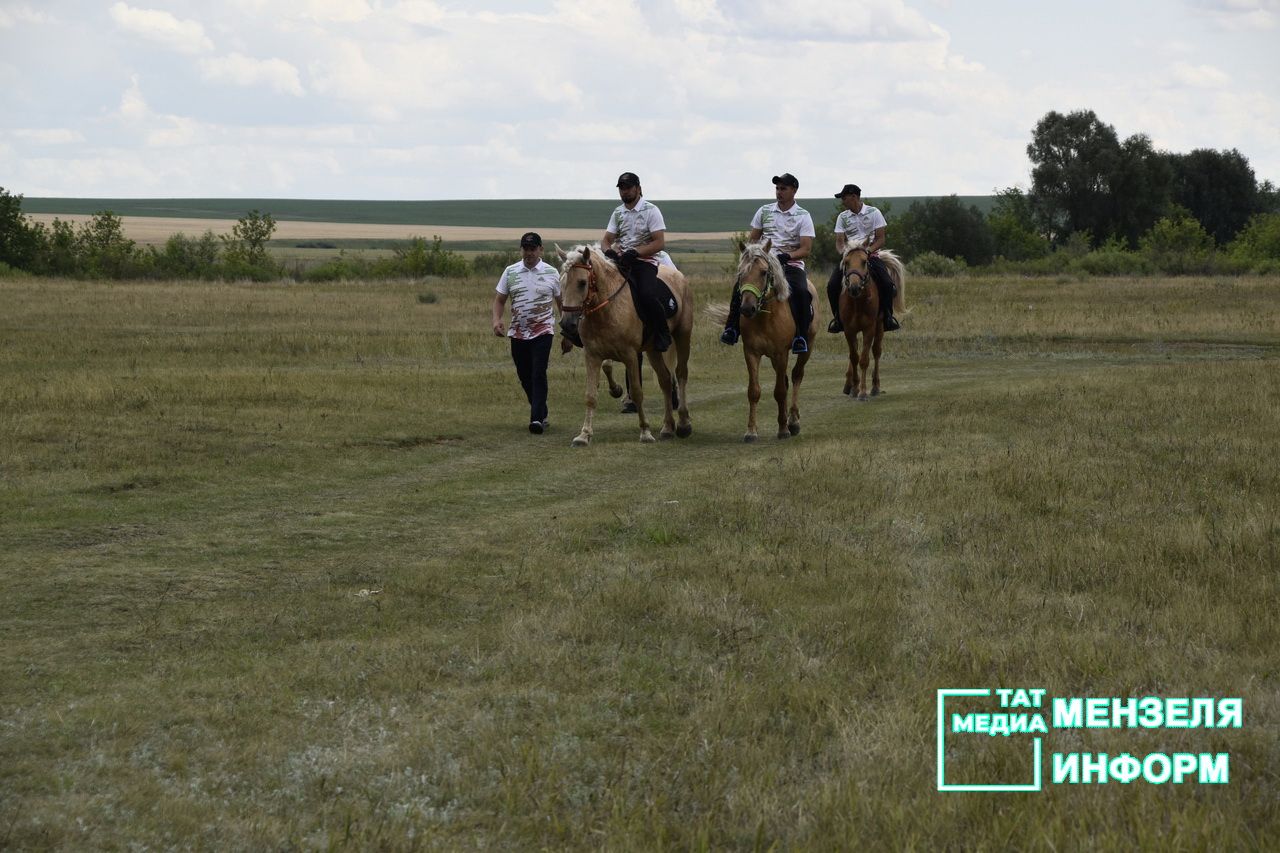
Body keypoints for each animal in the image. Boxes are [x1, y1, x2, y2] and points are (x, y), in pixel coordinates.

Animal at [550, 242, 691, 445]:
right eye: (561, 282)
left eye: (582, 283)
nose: (567, 325)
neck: (606, 309)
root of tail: (679, 276)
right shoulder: (592, 356)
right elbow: (590, 395)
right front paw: (584, 435)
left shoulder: (630, 355)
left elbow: (637, 392)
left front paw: (645, 432)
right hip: (653, 349)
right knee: (664, 379)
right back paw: (667, 427)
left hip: (682, 336)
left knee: (681, 373)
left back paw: (684, 424)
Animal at [716, 236, 814, 438]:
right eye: (741, 273)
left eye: (763, 272)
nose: (747, 308)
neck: (765, 317)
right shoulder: (751, 353)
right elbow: (754, 391)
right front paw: (751, 431)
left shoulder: (781, 353)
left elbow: (780, 391)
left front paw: (783, 429)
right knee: (786, 379)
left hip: (807, 347)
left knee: (796, 376)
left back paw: (793, 421)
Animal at [839, 239, 911, 399]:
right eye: (846, 262)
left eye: (864, 262)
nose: (854, 287)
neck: (858, 302)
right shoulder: (849, 330)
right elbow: (854, 357)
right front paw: (854, 388)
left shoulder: (869, 328)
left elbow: (864, 359)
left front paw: (862, 392)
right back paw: (849, 384)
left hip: (879, 326)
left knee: (876, 351)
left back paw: (875, 387)